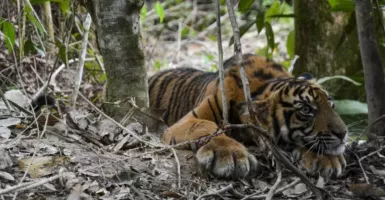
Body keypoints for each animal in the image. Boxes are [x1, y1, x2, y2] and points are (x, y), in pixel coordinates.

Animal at [148, 54, 346, 179]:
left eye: (332, 104)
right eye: (306, 109)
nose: (343, 133)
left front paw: (327, 159)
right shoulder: (186, 121)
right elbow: (206, 126)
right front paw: (230, 154)